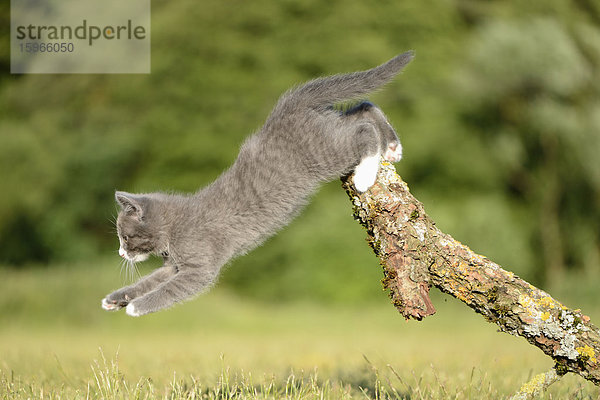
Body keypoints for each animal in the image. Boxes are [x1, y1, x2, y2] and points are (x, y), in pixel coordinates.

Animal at [102, 52, 412, 316]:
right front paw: (117, 298)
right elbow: (149, 281)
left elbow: (168, 290)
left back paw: (365, 173)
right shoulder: (172, 266)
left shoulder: (198, 268)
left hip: (324, 153)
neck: (174, 227)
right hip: (327, 129)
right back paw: (392, 146)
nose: (120, 252)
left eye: (126, 237)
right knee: (364, 108)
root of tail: (285, 109)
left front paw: (136, 306)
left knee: (362, 130)